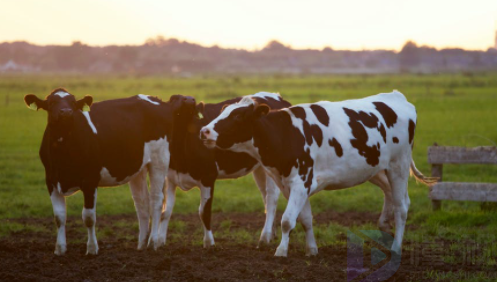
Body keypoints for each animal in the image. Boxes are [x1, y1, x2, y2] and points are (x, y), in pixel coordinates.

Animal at [24, 88, 192, 256]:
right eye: (52, 103)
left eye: (72, 102)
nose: (66, 112)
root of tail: (158, 100)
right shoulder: (51, 180)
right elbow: (59, 216)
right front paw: (60, 249)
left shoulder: (90, 181)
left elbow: (89, 217)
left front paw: (92, 248)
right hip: (138, 167)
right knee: (141, 203)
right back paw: (141, 244)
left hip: (159, 160)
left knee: (156, 201)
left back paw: (153, 242)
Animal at [165, 92, 290, 247]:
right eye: (173, 98)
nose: (189, 100)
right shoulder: (170, 178)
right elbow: (165, 211)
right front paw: (157, 241)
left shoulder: (208, 176)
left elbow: (204, 212)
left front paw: (209, 243)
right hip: (261, 168)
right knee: (265, 197)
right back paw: (271, 234)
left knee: (271, 198)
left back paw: (265, 237)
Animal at [200, 91, 436, 258]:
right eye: (222, 111)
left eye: (238, 116)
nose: (204, 131)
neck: (286, 134)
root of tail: (396, 96)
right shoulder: (293, 184)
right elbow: (305, 219)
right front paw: (311, 249)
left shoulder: (300, 181)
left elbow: (287, 220)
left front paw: (281, 251)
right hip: (375, 168)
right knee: (390, 194)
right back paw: (384, 226)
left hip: (399, 165)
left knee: (402, 206)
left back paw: (396, 247)